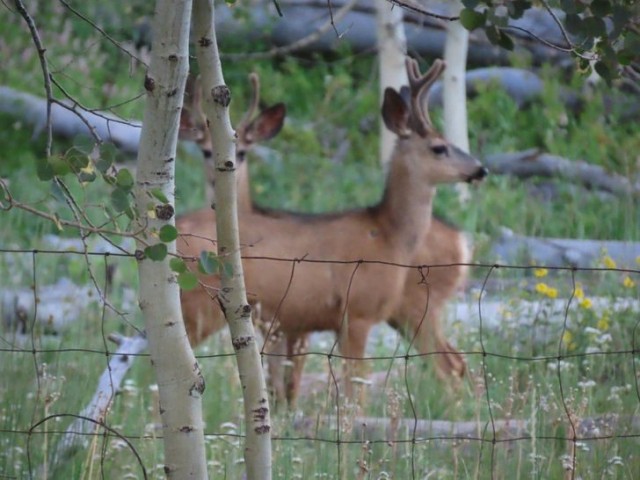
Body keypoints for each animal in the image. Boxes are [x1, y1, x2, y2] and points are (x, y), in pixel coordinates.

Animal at [175, 58, 484, 406]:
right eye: (439, 147)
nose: (480, 169)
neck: (388, 234)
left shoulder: (306, 322)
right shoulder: (356, 313)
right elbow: (353, 390)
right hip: (199, 302)